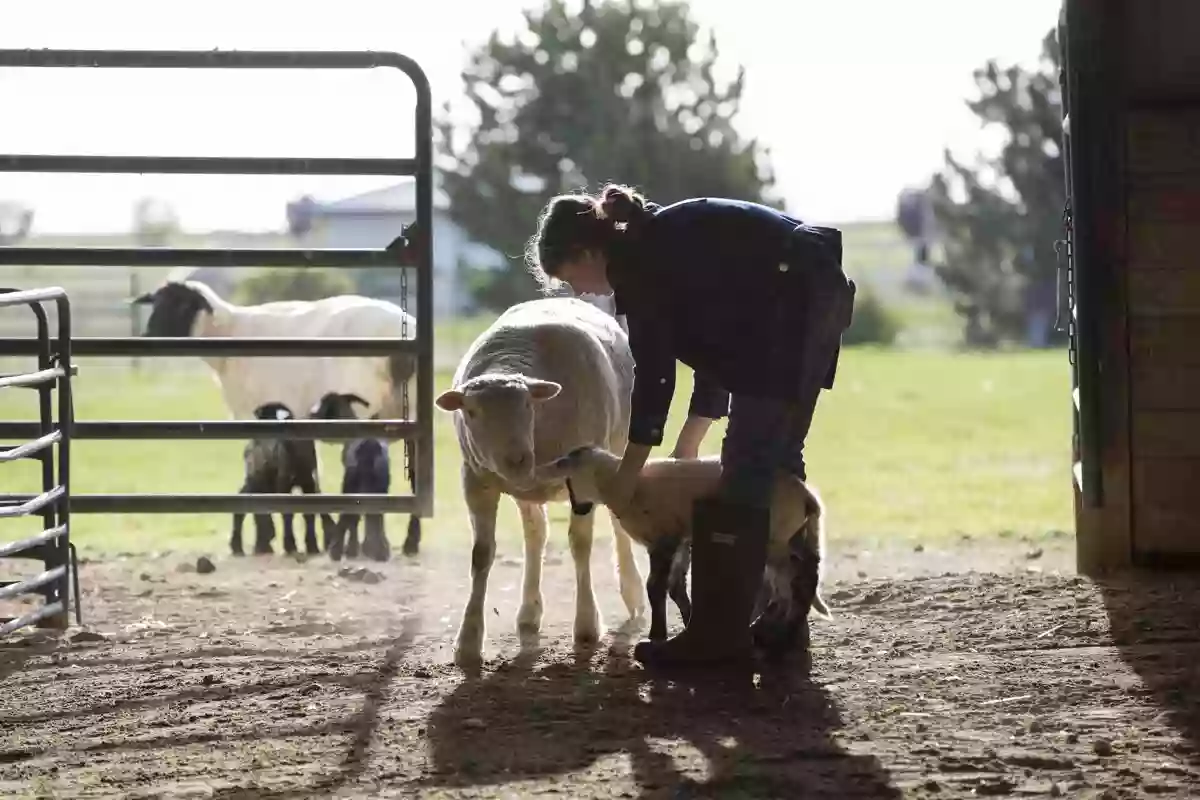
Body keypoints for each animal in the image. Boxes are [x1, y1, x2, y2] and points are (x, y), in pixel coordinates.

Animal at [229, 400, 338, 556]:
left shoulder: (308, 483)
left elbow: (309, 513)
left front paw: (312, 546)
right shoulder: (283, 484)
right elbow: (288, 513)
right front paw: (290, 545)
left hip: (262, 482)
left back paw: (257, 544)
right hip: (258, 480)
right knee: (246, 503)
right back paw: (248, 545)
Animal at [307, 393, 400, 563]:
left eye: (324, 404)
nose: (310, 415)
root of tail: (370, 447)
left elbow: (354, 518)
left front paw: (352, 549)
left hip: (351, 482)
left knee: (350, 514)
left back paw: (337, 551)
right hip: (380, 484)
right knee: (376, 515)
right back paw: (380, 552)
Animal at [436, 297, 648, 666]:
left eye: (527, 406)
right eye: (472, 412)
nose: (518, 459)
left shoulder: (581, 471)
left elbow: (580, 544)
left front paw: (587, 626)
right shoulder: (474, 480)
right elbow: (481, 554)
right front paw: (468, 642)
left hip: (617, 448)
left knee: (617, 521)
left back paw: (633, 592)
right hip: (526, 491)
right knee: (536, 534)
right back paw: (529, 613)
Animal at [540, 443, 830, 662]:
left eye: (568, 483)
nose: (578, 509)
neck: (620, 482)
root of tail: (807, 495)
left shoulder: (663, 539)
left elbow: (655, 586)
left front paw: (657, 635)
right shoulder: (679, 540)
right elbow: (675, 586)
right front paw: (688, 619)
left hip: (776, 538)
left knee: (794, 581)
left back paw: (776, 631)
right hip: (789, 536)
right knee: (791, 578)